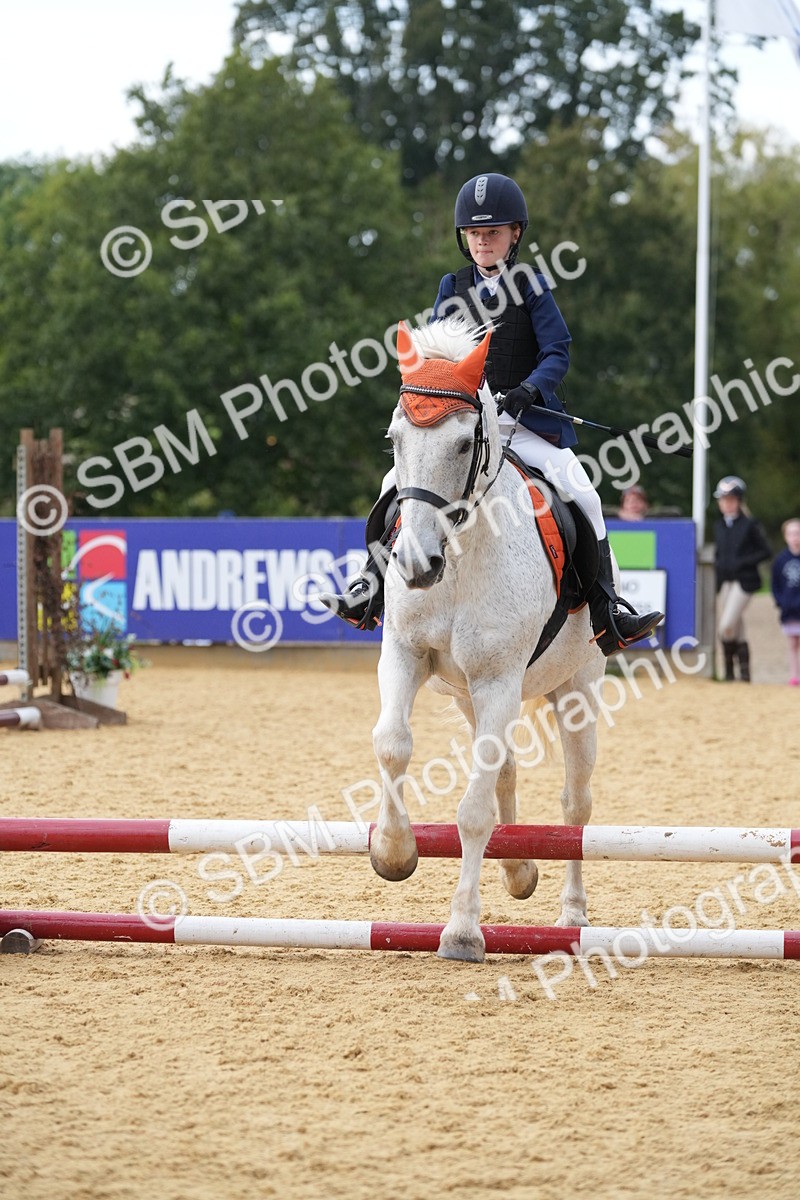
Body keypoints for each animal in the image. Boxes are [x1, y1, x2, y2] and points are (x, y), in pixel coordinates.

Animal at [369, 316, 607, 962]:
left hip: (575, 690)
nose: (415, 564)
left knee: (574, 804)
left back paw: (572, 914)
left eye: (459, 444)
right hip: (473, 698)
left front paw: (461, 931)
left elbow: (473, 813)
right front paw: (394, 853)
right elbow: (392, 744)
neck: (459, 556)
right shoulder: (405, 655)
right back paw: (521, 871)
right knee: (504, 769)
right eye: (395, 440)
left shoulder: (500, 680)